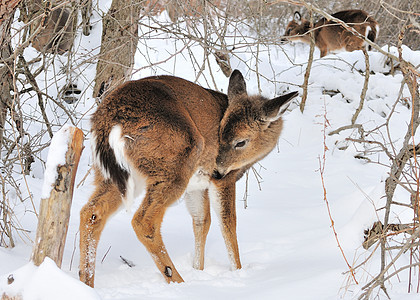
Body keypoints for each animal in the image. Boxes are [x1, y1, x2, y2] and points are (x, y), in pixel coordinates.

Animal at [78, 69, 296, 288]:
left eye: (240, 142)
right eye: (220, 133)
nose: (216, 169)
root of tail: (111, 121)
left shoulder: (197, 186)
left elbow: (202, 221)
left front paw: (198, 269)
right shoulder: (224, 180)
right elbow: (228, 222)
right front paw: (238, 271)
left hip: (112, 174)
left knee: (91, 212)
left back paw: (86, 282)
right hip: (176, 162)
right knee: (143, 221)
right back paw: (177, 280)